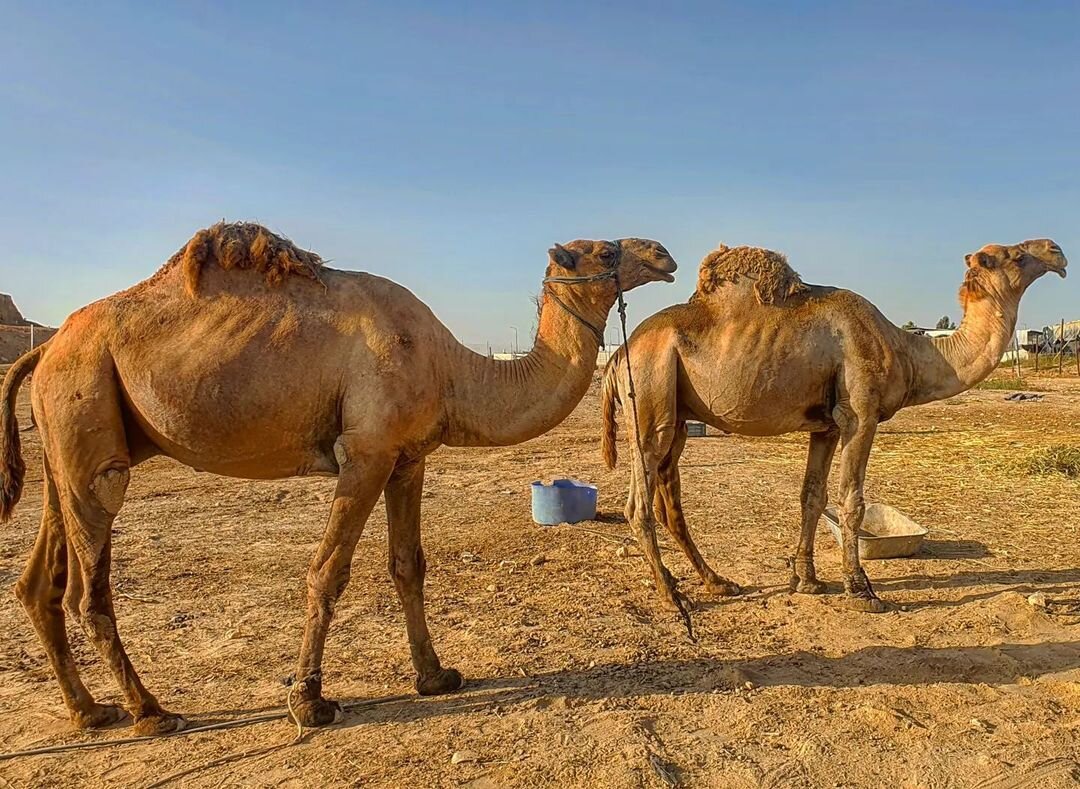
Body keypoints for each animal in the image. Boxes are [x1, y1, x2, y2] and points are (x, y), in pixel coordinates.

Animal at [0, 222, 673, 733]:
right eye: (605, 251)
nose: (662, 254)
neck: (449, 368)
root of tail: (44, 348)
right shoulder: (366, 451)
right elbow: (328, 572)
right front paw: (309, 700)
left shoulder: (408, 457)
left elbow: (408, 565)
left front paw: (436, 676)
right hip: (87, 407)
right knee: (88, 581)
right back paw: (150, 711)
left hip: (70, 437)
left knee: (39, 579)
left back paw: (90, 712)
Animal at [604, 237, 1067, 621]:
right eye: (1015, 255)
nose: (1057, 251)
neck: (908, 351)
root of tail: (618, 355)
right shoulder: (860, 414)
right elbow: (852, 501)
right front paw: (861, 591)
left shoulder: (824, 427)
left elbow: (812, 497)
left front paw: (806, 580)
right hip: (649, 396)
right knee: (638, 503)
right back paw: (672, 595)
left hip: (678, 415)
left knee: (669, 499)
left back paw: (717, 582)